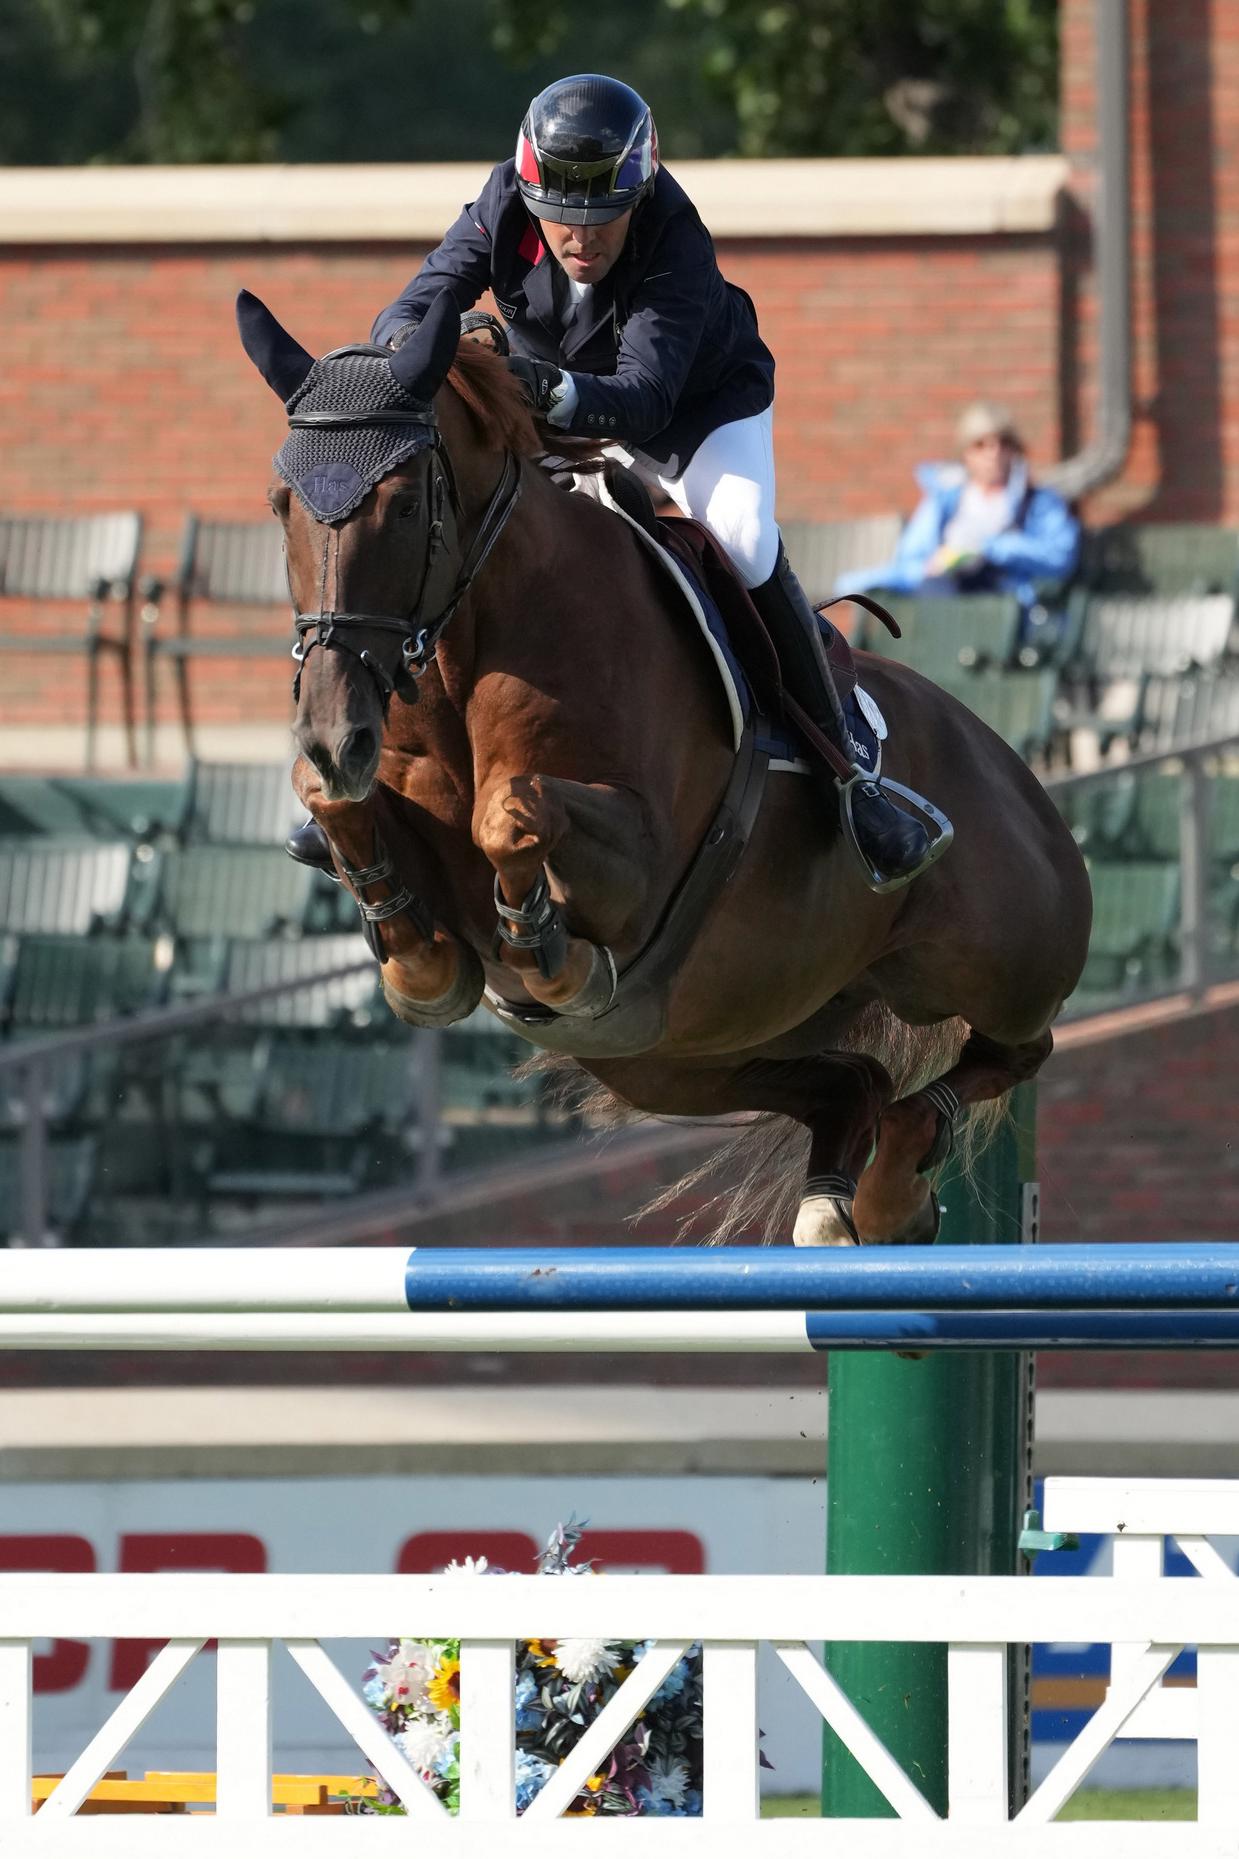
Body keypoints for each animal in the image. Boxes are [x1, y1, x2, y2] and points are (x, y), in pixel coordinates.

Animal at [236, 286, 1086, 1249]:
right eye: (280, 504)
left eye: (407, 502)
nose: (332, 733)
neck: (465, 643)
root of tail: (1006, 761)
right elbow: (341, 812)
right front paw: (421, 967)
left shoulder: (641, 858)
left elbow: (512, 812)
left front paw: (546, 951)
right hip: (681, 1048)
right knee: (852, 1080)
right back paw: (842, 1200)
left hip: (998, 958)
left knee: (1016, 1046)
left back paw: (893, 1177)